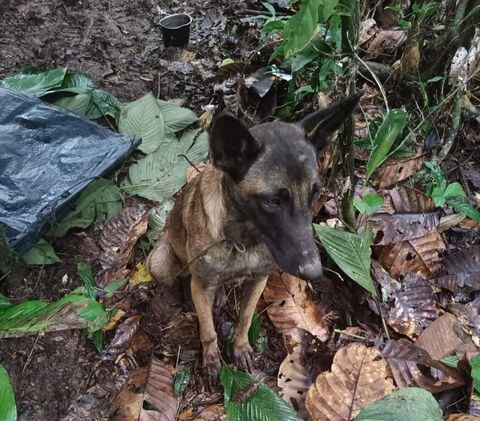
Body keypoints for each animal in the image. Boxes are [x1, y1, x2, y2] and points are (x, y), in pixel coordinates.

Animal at [146, 94, 360, 378]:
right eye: (272, 201)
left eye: (315, 194)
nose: (314, 271)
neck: (243, 241)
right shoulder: (202, 285)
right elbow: (208, 330)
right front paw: (212, 358)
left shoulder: (258, 280)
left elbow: (245, 318)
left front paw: (240, 347)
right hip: (160, 264)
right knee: (184, 277)